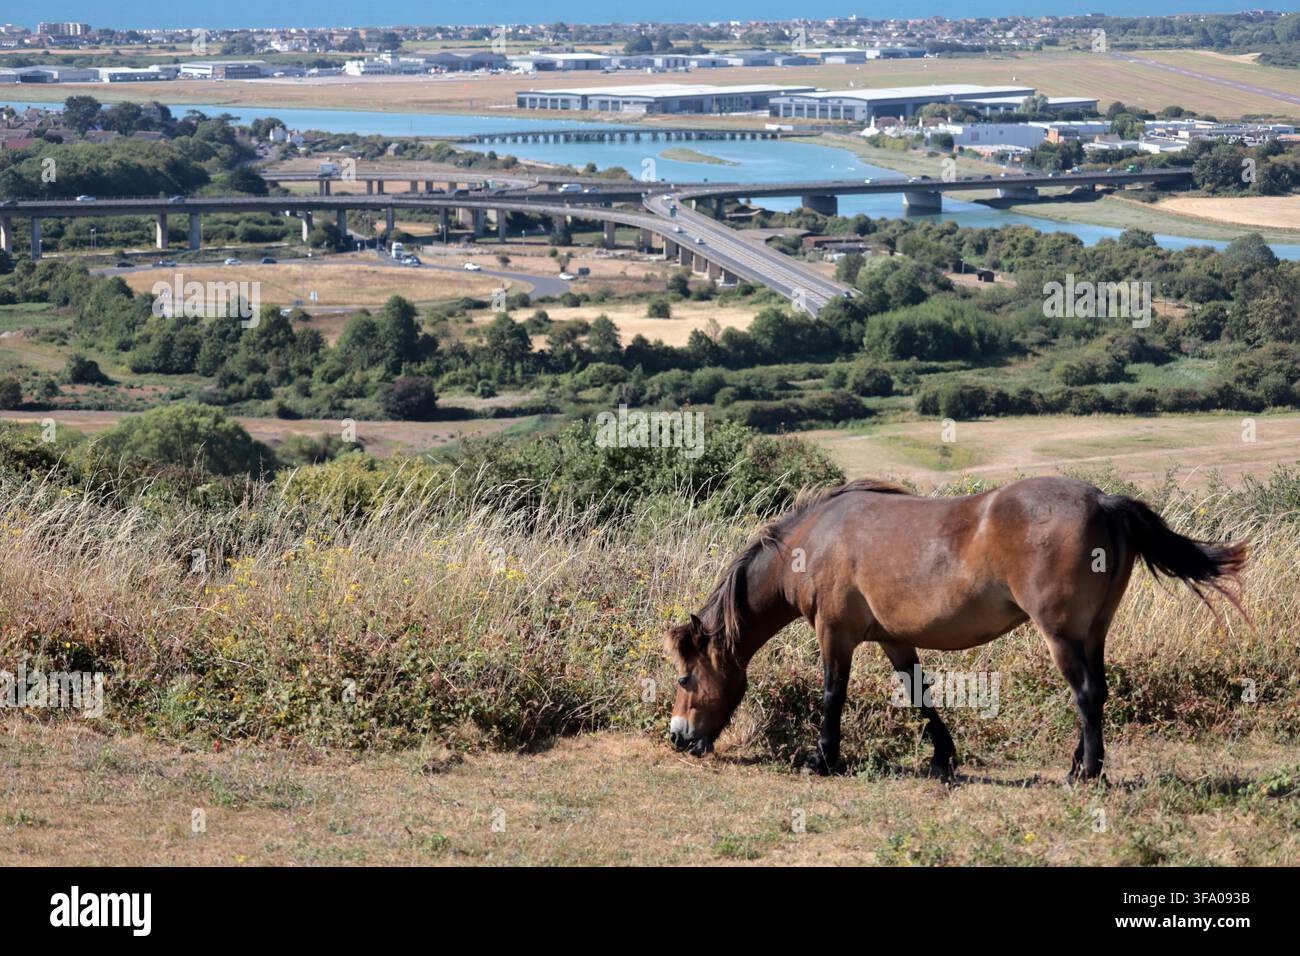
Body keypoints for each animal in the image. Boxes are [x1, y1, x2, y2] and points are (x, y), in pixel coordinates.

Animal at [664, 476, 1246, 781]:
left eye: (685, 679)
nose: (678, 738)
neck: (813, 541)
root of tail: (1102, 501)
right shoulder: (894, 639)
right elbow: (919, 692)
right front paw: (943, 757)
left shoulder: (835, 634)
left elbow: (832, 695)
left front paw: (822, 758)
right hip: (1093, 633)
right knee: (1098, 692)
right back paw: (1082, 763)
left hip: (1061, 635)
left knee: (1084, 694)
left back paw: (1086, 773)